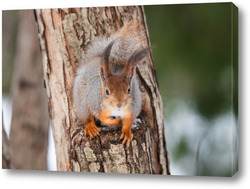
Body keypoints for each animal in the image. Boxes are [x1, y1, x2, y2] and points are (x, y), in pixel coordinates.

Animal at [73, 19, 149, 147]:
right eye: (107, 91)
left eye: (129, 90)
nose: (119, 105)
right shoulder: (96, 103)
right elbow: (102, 117)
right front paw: (116, 121)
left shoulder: (133, 108)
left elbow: (129, 121)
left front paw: (126, 132)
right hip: (81, 100)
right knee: (85, 116)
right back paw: (90, 127)